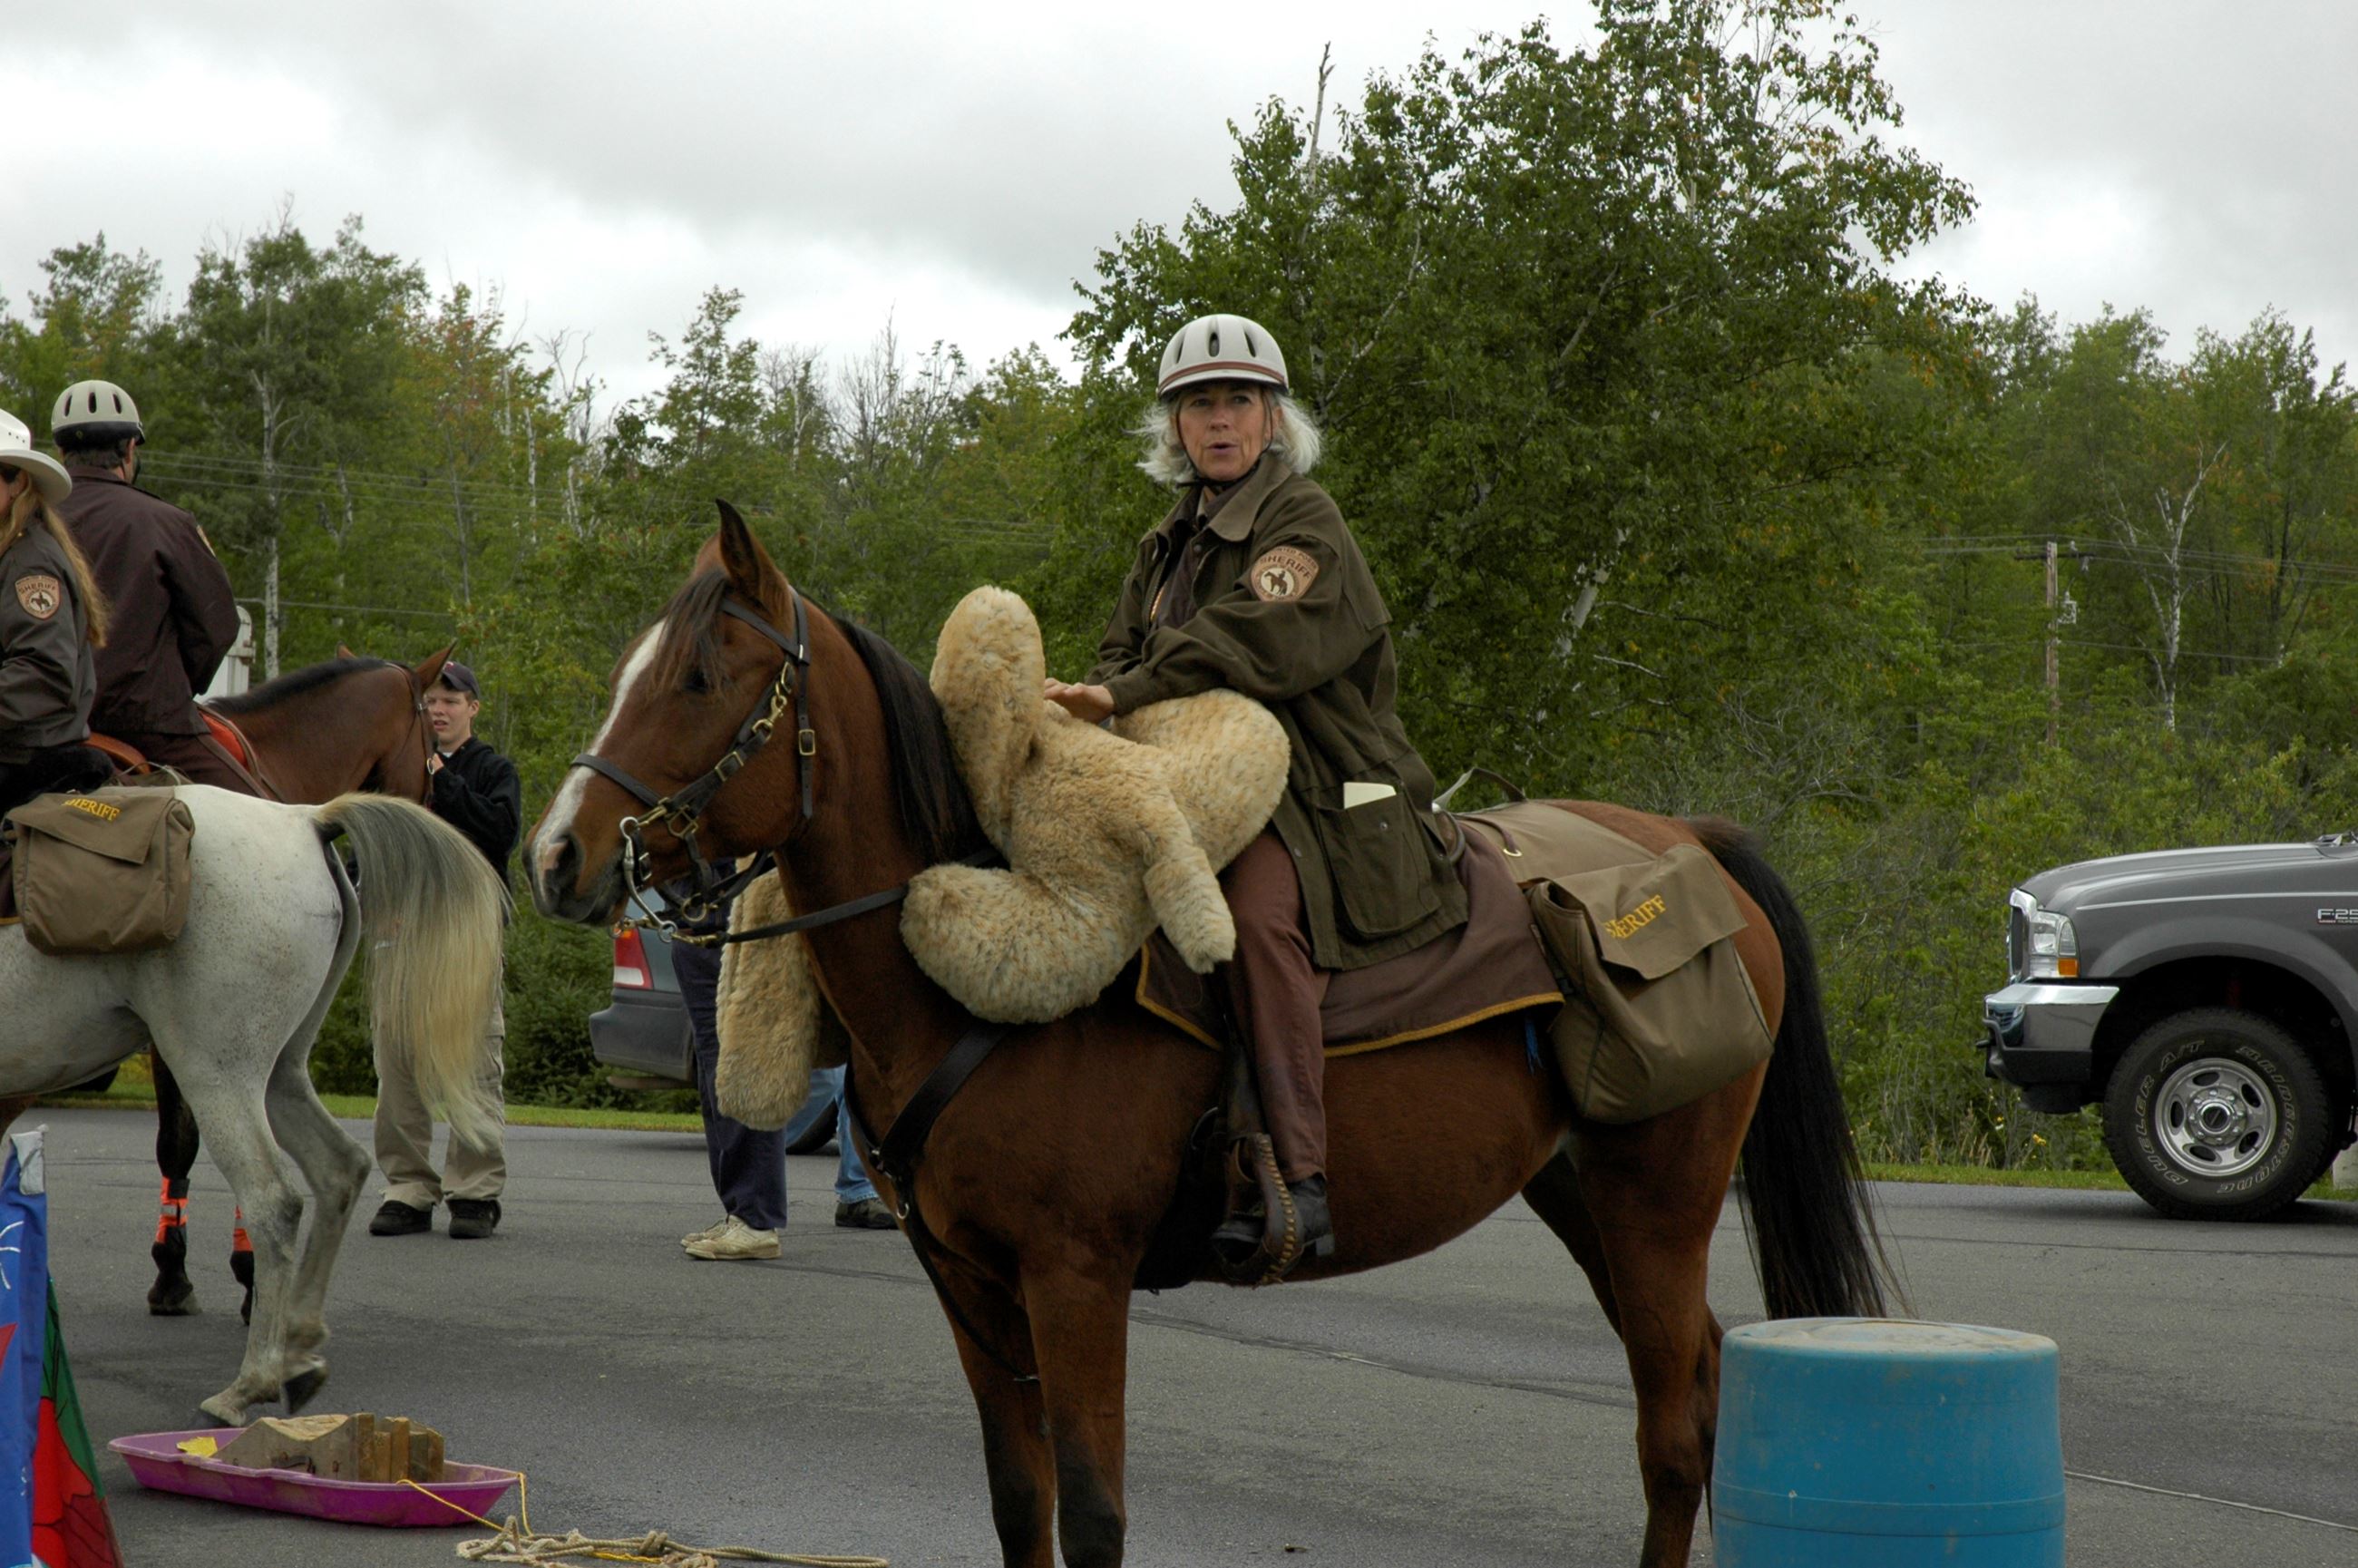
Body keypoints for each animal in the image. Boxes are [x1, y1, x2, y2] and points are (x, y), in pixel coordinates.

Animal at [0, 787, 504, 1426]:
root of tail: (303, 818)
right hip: (277, 1073)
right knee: (338, 1169)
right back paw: (299, 1349)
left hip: (217, 1072)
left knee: (274, 1201)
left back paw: (249, 1384)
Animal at [524, 506, 1897, 1568]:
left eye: (698, 679)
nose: (558, 855)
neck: (962, 977)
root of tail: (1691, 844)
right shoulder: (966, 1281)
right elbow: (1019, 1505)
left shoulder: (1075, 1278)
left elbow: (1093, 1514)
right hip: (1585, 1198)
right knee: (1703, 1387)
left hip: (1657, 1199)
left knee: (1672, 1433)